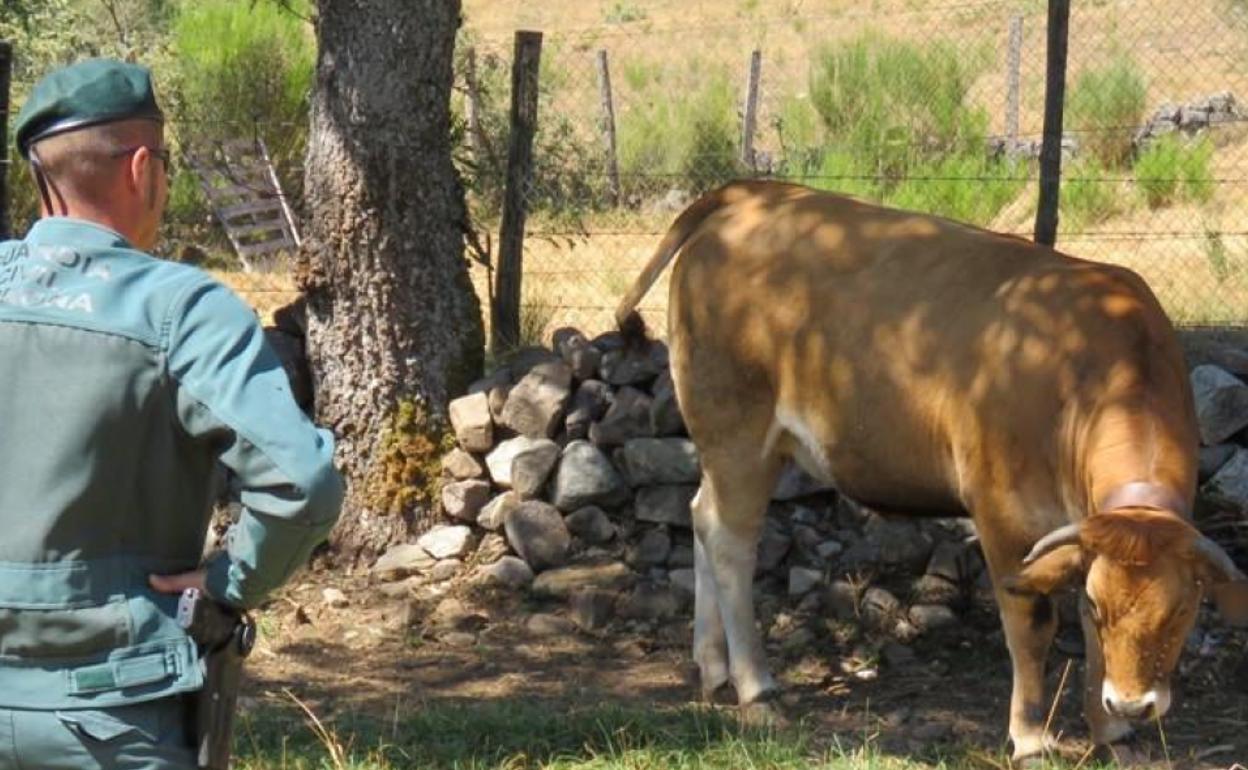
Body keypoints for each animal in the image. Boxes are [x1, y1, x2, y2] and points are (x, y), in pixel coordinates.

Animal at [614, 178, 1248, 758]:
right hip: (738, 431)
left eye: (1183, 609)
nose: (1134, 704)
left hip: (732, 445)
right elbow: (1031, 623)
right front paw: (1031, 737)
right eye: (1102, 602)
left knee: (701, 517)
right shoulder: (1002, 512)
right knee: (731, 541)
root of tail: (751, 193)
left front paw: (1112, 733)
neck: (1086, 376)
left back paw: (712, 665)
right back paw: (756, 687)